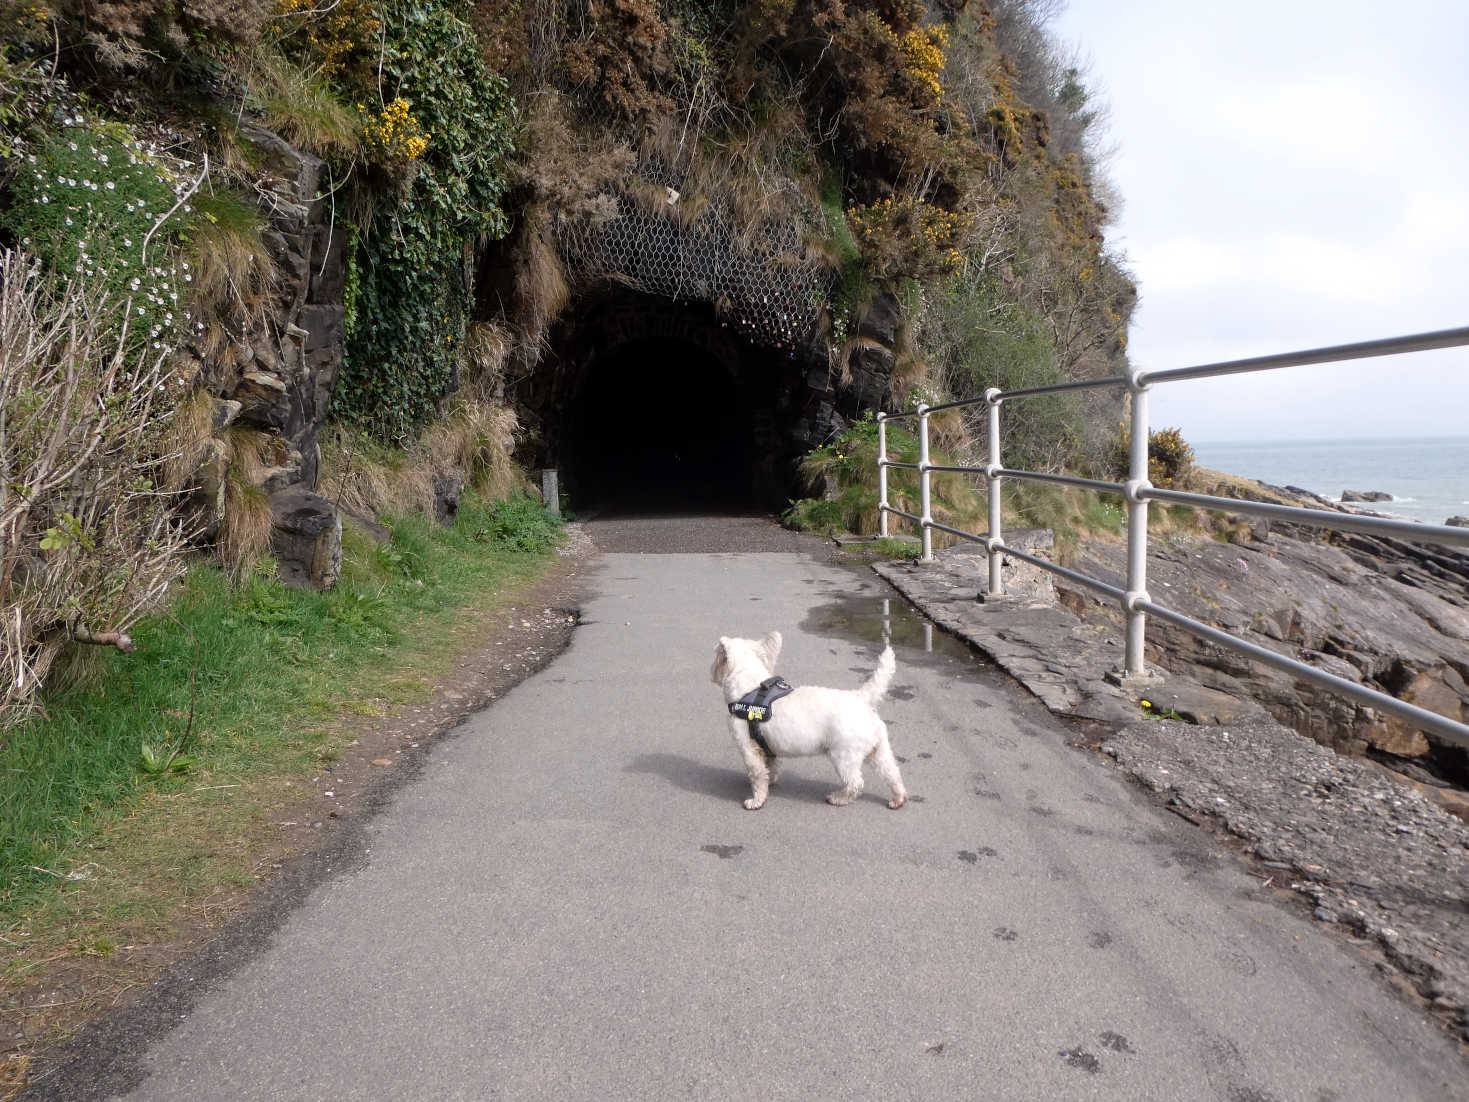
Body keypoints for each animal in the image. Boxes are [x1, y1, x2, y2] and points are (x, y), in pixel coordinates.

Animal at [710, 628, 904, 811]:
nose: (711, 671)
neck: (749, 688)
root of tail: (861, 698)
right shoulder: (768, 748)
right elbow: (769, 768)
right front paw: (769, 781)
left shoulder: (748, 747)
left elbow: (757, 774)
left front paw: (757, 800)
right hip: (879, 751)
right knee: (892, 773)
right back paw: (897, 799)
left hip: (844, 756)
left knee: (855, 783)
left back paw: (838, 798)